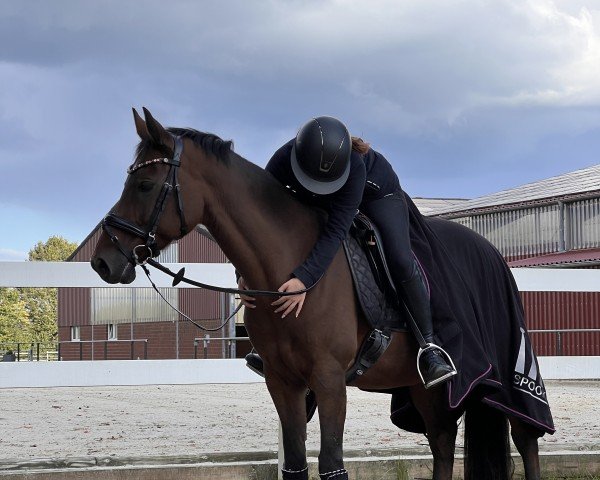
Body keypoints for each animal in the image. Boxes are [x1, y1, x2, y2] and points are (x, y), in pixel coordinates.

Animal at [91, 108, 548, 480]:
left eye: (145, 184)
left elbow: (331, 465)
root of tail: (493, 252)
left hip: (506, 374)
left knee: (526, 439)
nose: (103, 261)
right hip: (428, 390)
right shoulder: (283, 381)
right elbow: (295, 463)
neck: (287, 266)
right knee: (442, 441)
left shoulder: (329, 382)